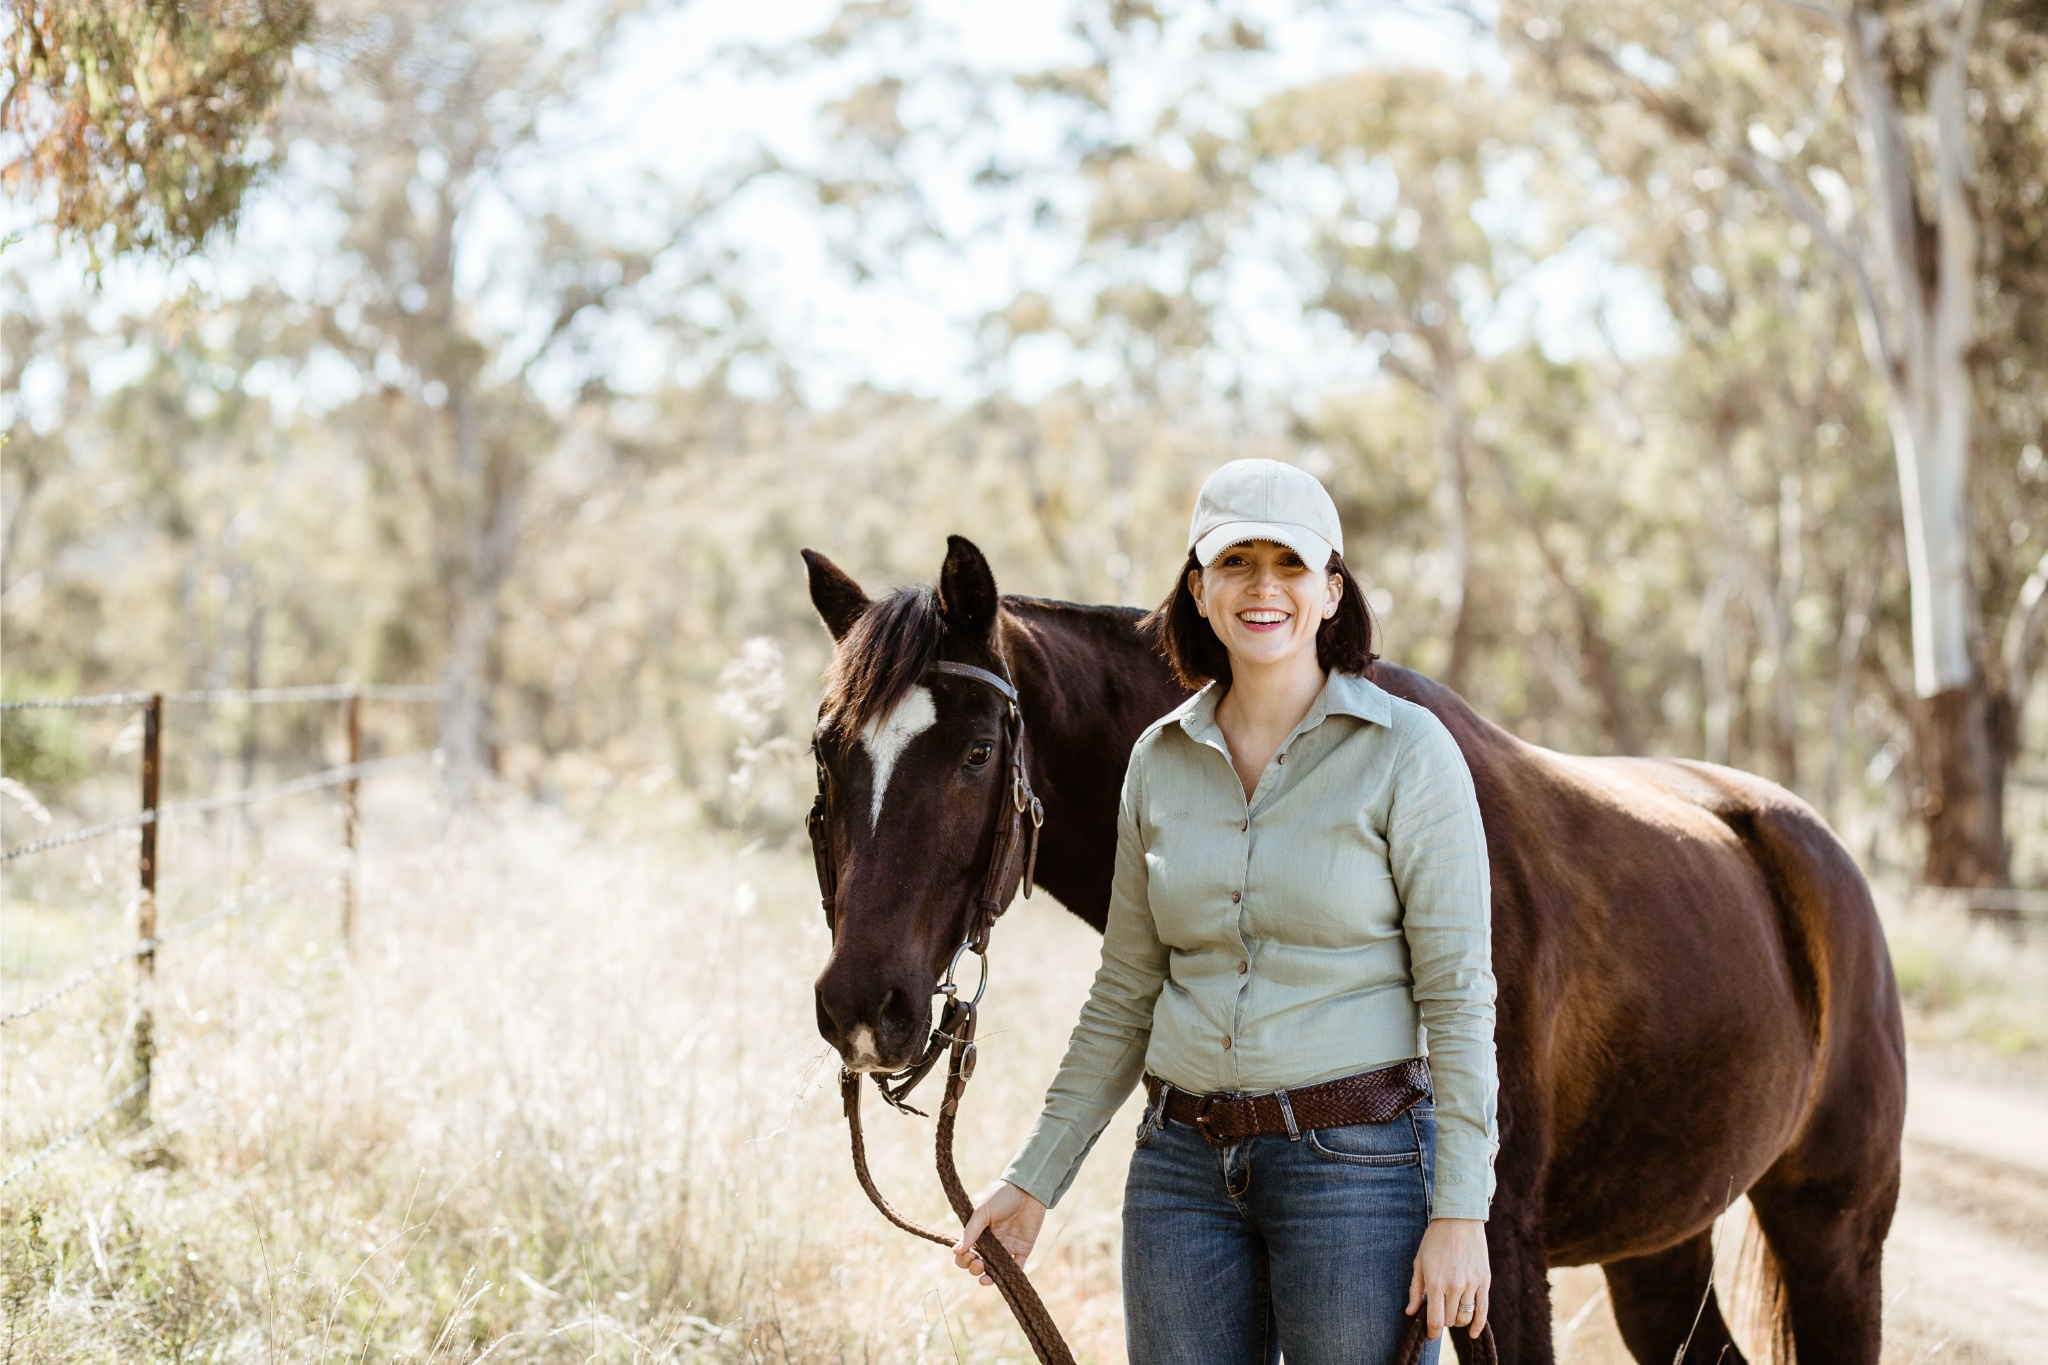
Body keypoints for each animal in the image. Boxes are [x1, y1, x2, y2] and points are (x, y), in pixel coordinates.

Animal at [798, 536, 1900, 1365]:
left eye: (978, 752)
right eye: (826, 751)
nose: (862, 1005)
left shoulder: (1493, 1259)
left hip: (1833, 1243)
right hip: (1661, 1249)